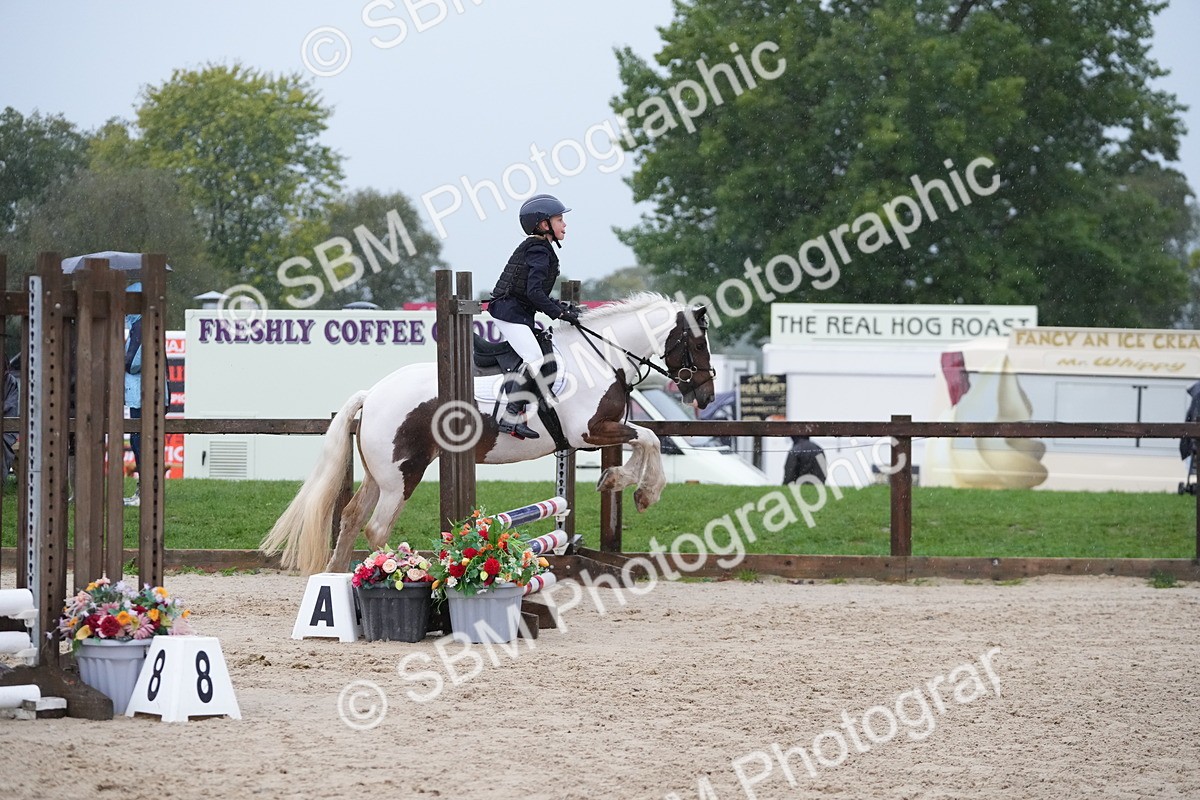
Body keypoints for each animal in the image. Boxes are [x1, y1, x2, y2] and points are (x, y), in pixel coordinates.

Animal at [259, 293, 717, 574]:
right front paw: (642, 491)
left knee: (352, 517)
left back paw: (337, 579)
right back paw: (396, 573)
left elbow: (646, 439)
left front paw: (622, 482)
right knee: (376, 528)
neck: (600, 354)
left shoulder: (596, 434)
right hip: (402, 475)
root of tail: (373, 394)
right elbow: (650, 439)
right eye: (697, 345)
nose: (706, 394)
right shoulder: (588, 432)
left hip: (380, 475)